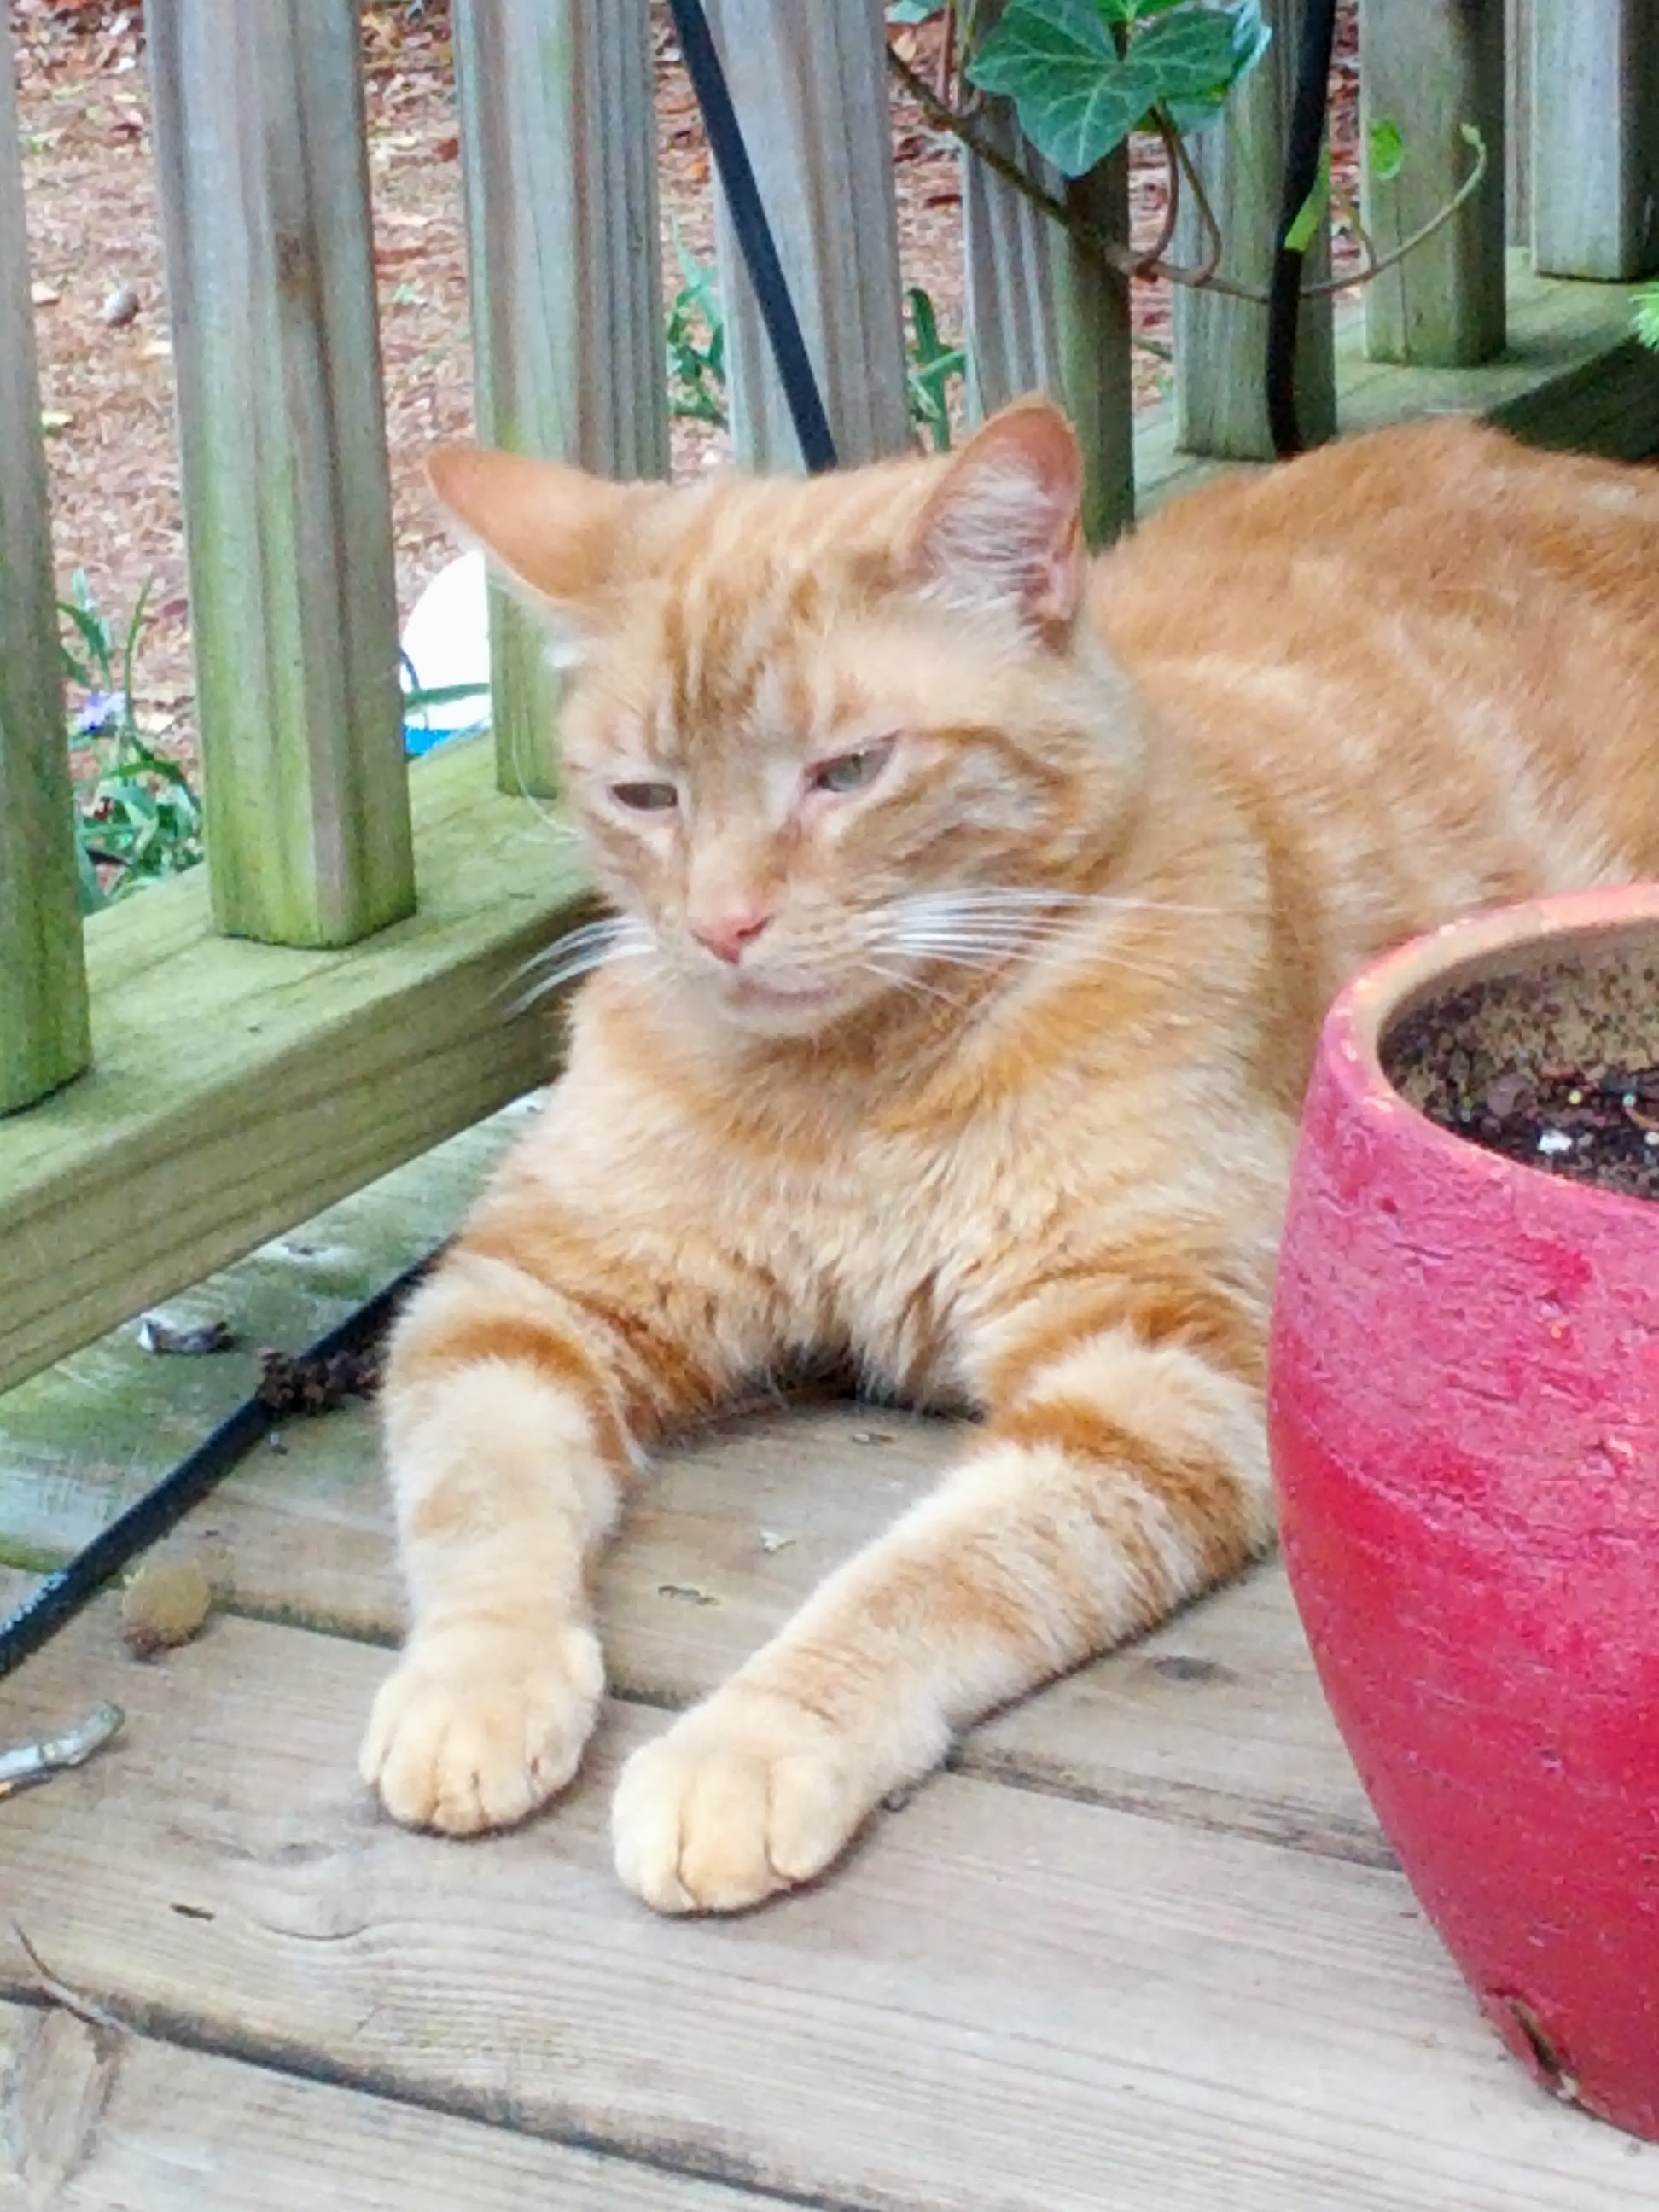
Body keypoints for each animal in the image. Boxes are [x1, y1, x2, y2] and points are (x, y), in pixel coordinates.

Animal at [360, 399, 1659, 1913]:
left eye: (849, 771)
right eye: (645, 795)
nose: (724, 926)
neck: (857, 1089)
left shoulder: (1152, 1371)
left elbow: (921, 1579)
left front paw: (752, 1742)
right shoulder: (526, 1295)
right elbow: (484, 1491)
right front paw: (477, 1683)